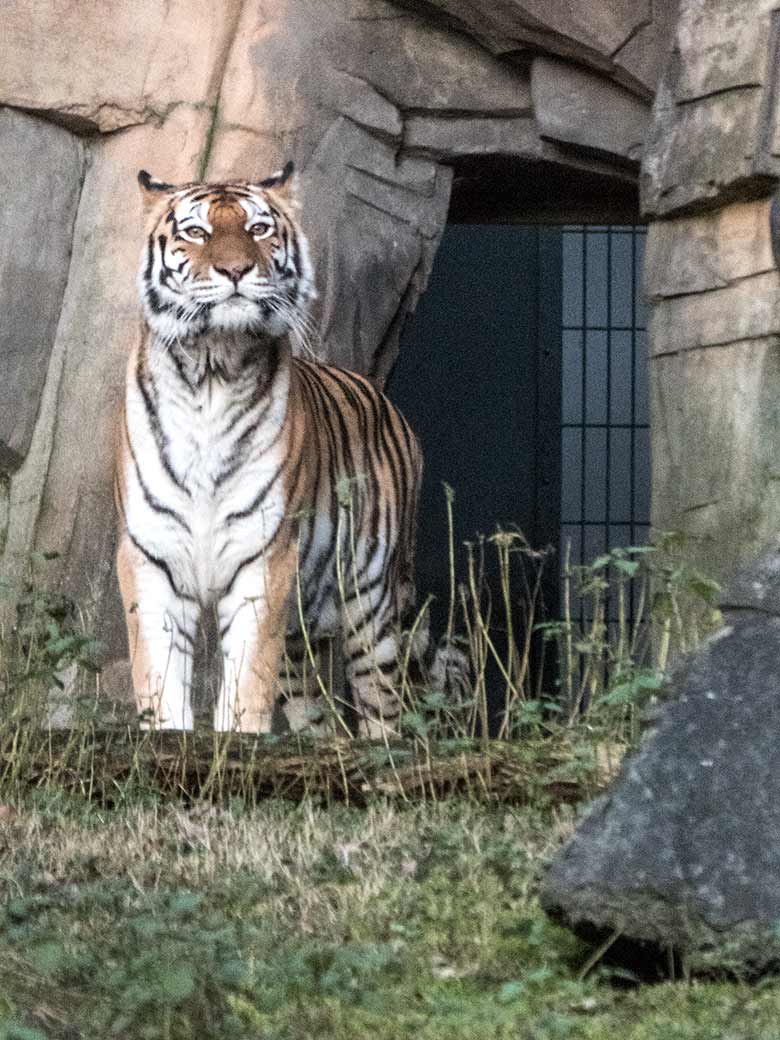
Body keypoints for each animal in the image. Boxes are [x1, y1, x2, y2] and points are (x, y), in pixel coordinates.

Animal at [113, 160, 424, 740]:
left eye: (258, 229)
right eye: (196, 232)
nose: (235, 270)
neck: (211, 370)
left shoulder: (264, 554)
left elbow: (246, 677)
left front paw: (238, 740)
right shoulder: (152, 554)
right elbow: (160, 674)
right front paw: (169, 735)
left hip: (371, 600)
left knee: (384, 706)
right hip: (307, 637)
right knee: (315, 711)